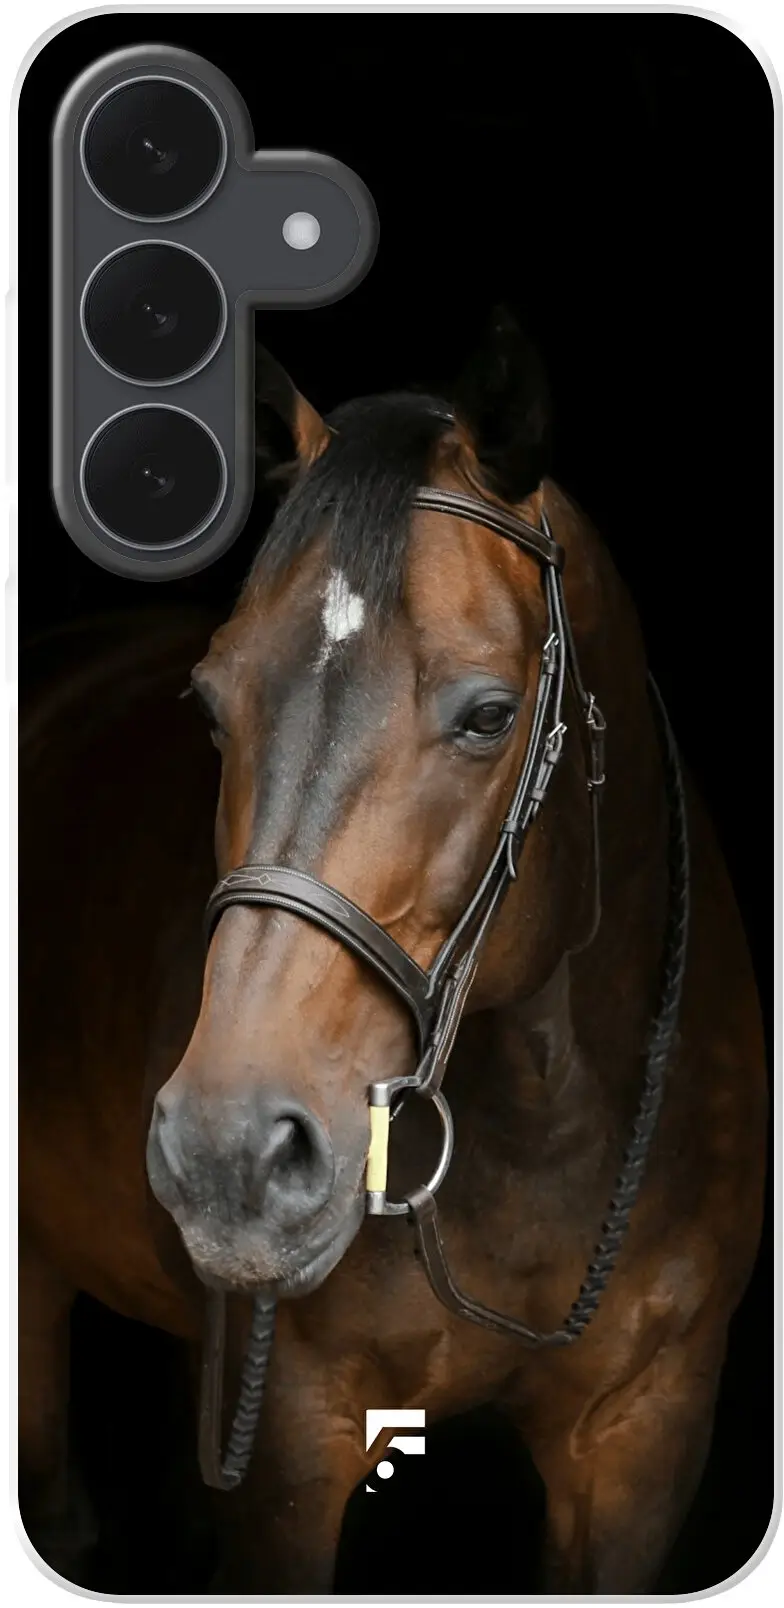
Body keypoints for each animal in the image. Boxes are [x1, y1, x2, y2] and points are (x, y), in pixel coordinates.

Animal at [19, 312, 767, 1592]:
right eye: (210, 707)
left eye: (488, 715)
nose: (228, 1153)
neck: (544, 1124)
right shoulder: (292, 1446)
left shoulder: (643, 1436)